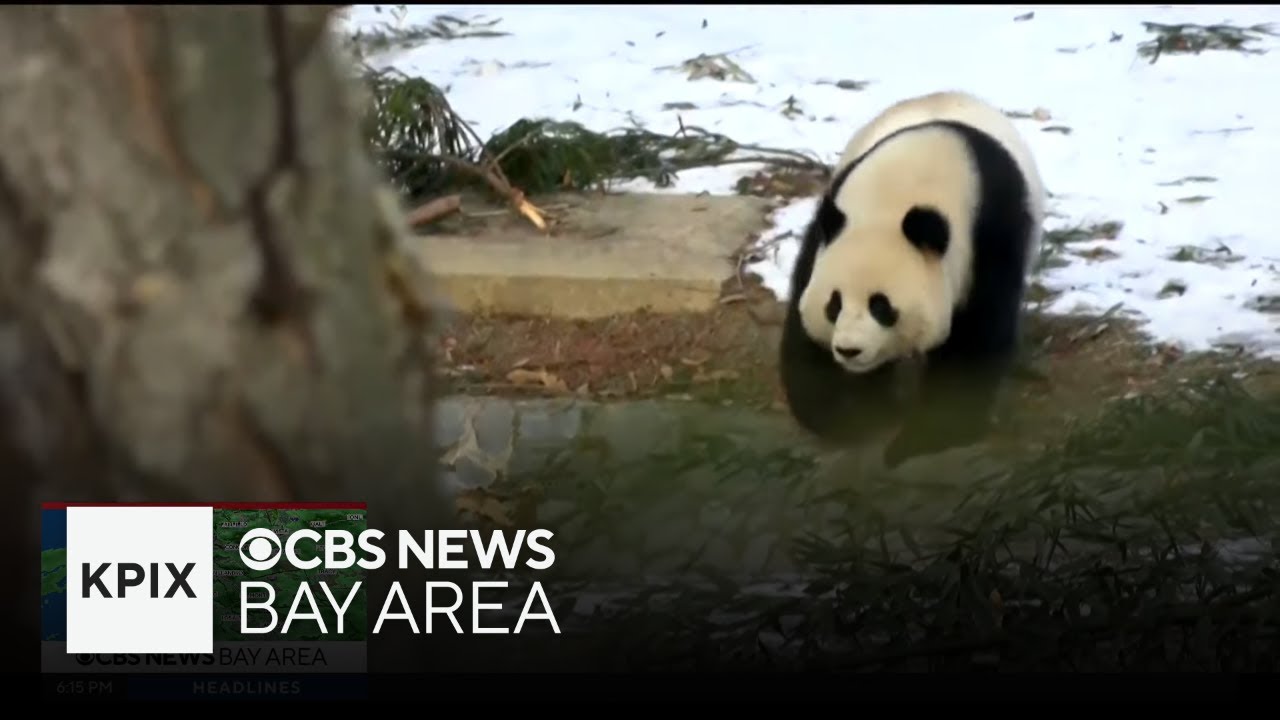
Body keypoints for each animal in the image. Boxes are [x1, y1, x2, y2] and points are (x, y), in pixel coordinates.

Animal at [778, 90, 1046, 468]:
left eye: (881, 306)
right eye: (834, 304)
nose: (848, 350)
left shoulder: (990, 236)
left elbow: (974, 344)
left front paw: (921, 438)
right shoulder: (828, 228)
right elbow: (806, 342)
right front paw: (856, 416)